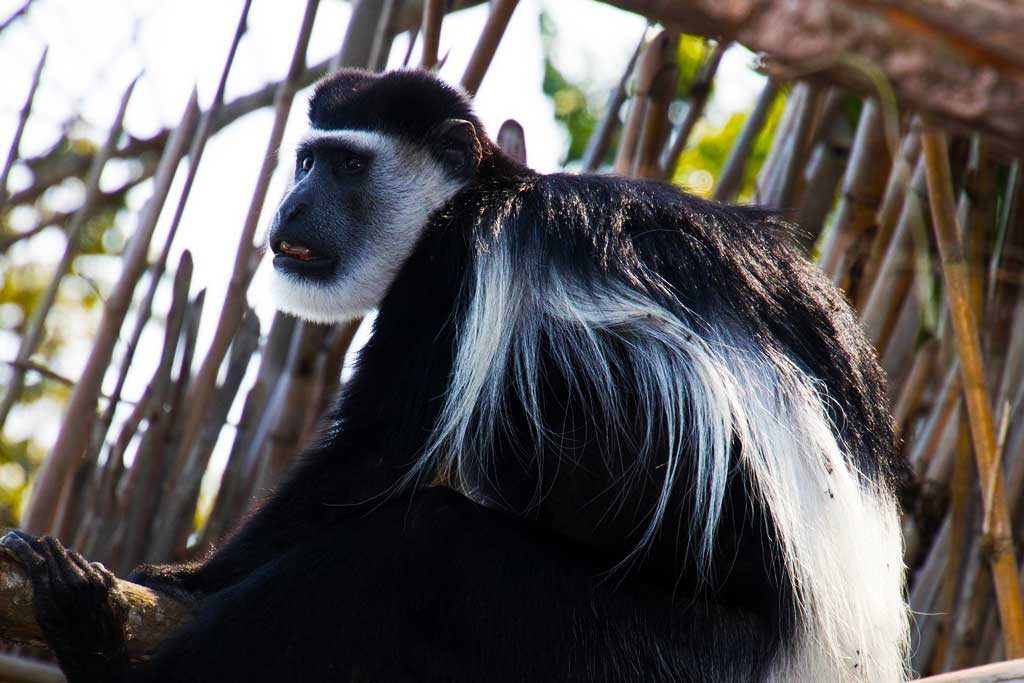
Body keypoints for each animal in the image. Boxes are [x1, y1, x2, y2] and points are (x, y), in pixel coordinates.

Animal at [6, 70, 905, 683]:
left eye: (345, 167)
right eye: (304, 162)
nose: (289, 207)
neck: (486, 188)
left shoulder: (454, 268)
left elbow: (374, 453)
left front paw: (185, 575)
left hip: (661, 647)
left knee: (417, 551)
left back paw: (93, 638)